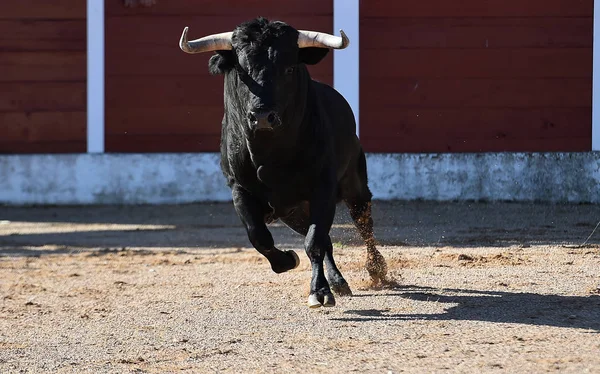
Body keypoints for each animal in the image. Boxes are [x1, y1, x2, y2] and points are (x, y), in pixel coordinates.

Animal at [178, 17, 390, 308]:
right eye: (241, 71)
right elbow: (260, 236)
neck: (269, 153)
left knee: (362, 222)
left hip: (353, 184)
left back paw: (376, 269)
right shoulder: (239, 189)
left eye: (289, 68)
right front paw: (289, 260)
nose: (262, 116)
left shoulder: (322, 187)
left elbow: (314, 241)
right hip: (294, 212)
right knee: (326, 239)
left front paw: (319, 292)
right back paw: (338, 281)